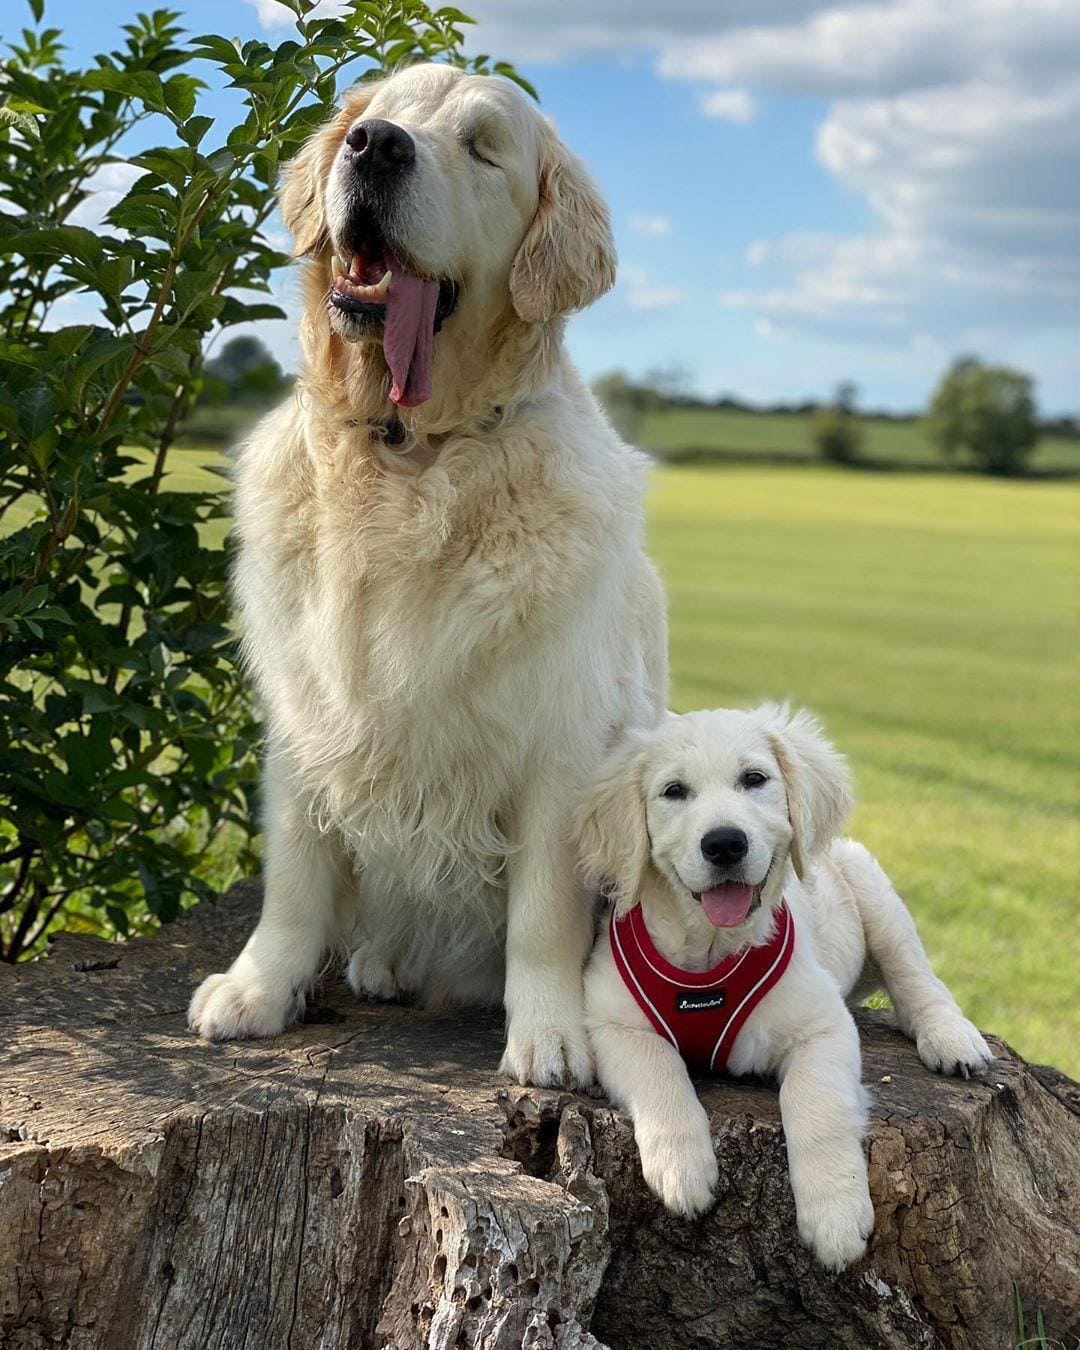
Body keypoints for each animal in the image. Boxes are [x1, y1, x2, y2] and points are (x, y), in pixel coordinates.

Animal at [190, 65, 669, 1096]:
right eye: (380, 117)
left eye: (484, 149)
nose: (375, 147)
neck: (406, 454)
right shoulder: (306, 717)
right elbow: (294, 879)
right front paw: (259, 989)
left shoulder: (558, 743)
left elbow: (542, 915)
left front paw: (551, 1037)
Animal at [577, 712, 993, 1269]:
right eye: (673, 791)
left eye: (754, 779)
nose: (725, 843)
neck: (711, 950)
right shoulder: (613, 1023)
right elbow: (659, 1073)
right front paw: (682, 1169)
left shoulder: (823, 1026)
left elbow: (815, 1103)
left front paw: (836, 1216)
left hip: (876, 895)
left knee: (917, 982)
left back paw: (953, 1040)